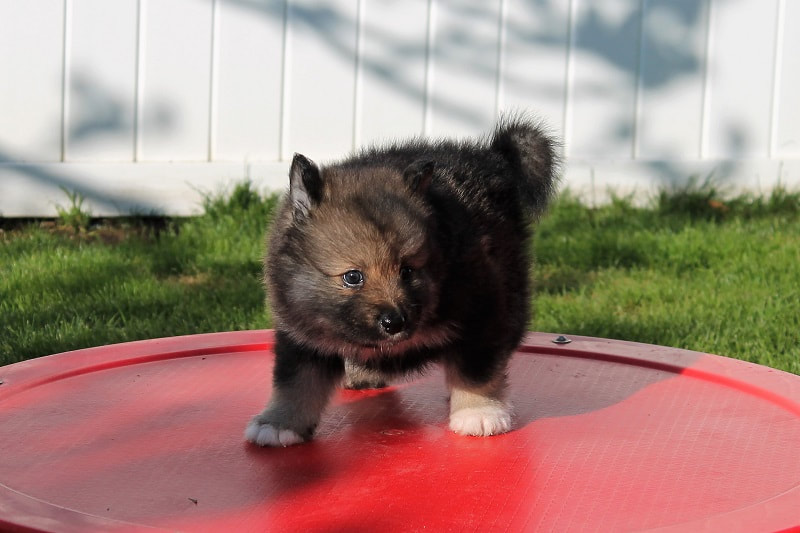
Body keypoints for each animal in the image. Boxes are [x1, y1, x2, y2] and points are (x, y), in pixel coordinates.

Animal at [247, 115, 560, 444]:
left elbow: (476, 368)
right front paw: (279, 422)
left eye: (407, 270)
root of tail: (493, 156)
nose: (394, 323)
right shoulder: (302, 333)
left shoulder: (483, 310)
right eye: (353, 277)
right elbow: (296, 380)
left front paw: (478, 412)